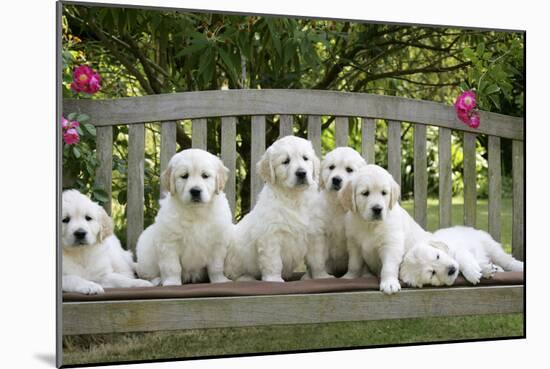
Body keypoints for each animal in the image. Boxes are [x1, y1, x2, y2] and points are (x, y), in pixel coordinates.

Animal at [138, 149, 235, 284]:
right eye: (184, 176)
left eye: (205, 175)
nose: (195, 191)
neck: (196, 212)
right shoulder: (169, 243)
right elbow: (172, 267)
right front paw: (172, 282)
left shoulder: (217, 242)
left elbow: (216, 266)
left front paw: (219, 280)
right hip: (145, 259)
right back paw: (157, 280)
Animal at [225, 135, 332, 282]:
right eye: (285, 161)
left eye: (305, 158)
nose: (301, 173)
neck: (294, 198)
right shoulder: (270, 235)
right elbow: (273, 261)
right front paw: (273, 279)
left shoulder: (314, 233)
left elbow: (317, 259)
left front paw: (321, 276)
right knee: (233, 274)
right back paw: (246, 278)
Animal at [316, 147, 368, 276]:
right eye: (331, 167)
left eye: (349, 169)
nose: (336, 179)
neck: (339, 204)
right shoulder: (322, 233)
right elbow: (319, 259)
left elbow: (354, 263)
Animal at [338, 164, 434, 294]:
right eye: (365, 193)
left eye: (384, 193)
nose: (377, 209)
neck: (370, 225)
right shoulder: (354, 245)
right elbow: (354, 264)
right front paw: (349, 277)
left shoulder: (391, 245)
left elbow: (388, 267)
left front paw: (389, 283)